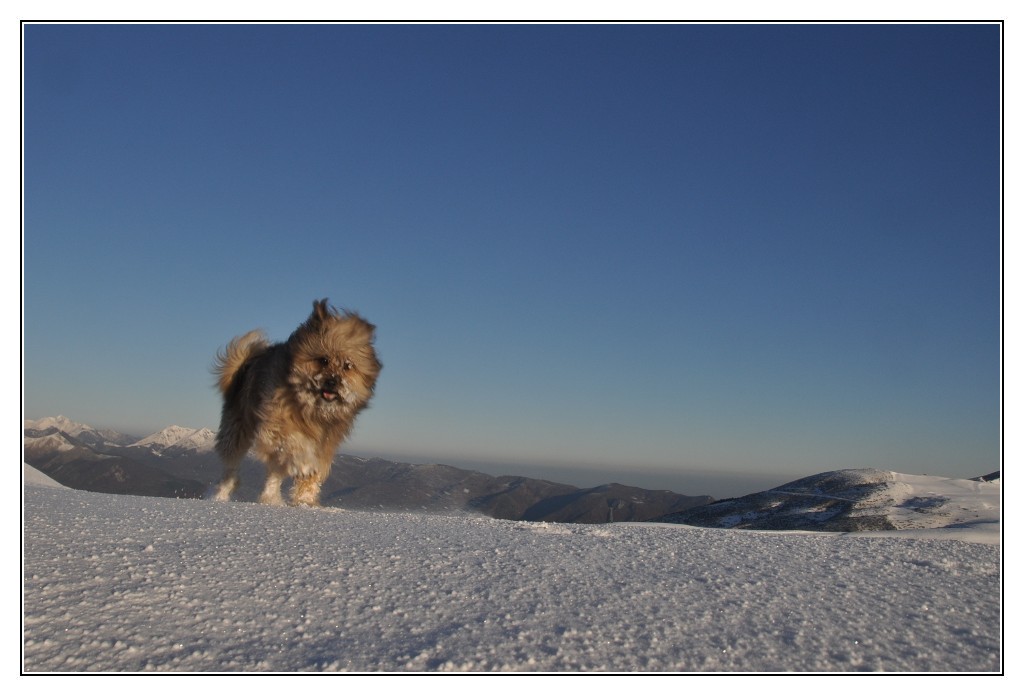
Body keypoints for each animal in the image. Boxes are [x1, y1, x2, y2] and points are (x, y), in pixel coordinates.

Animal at [209, 298, 382, 505]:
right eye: (323, 360)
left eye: (348, 366)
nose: (333, 382)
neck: (311, 408)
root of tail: (248, 363)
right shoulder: (275, 424)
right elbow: (295, 441)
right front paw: (305, 465)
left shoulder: (326, 441)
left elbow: (313, 471)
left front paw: (306, 500)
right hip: (237, 429)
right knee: (232, 466)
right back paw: (221, 495)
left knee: (274, 474)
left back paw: (271, 499)